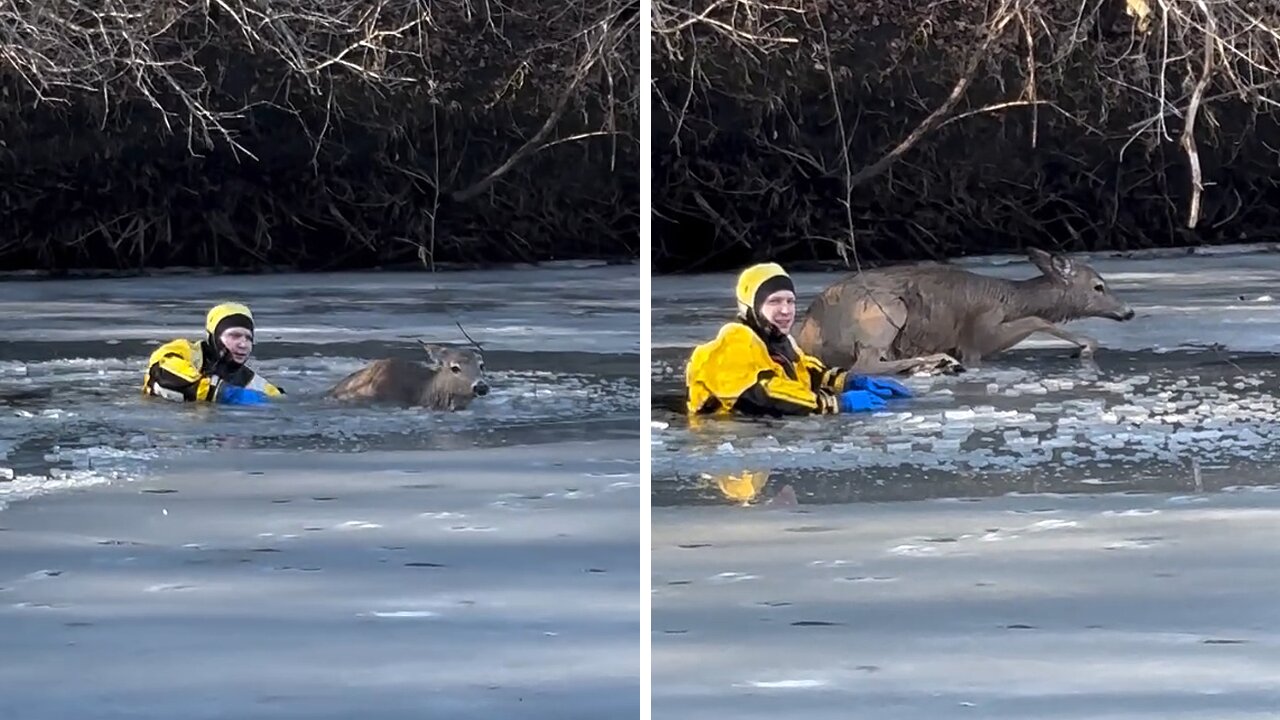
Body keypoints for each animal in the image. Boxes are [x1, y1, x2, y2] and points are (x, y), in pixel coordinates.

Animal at [793, 244, 1136, 371]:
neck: (1012, 298)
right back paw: (936, 361)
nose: (1129, 312)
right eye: (1098, 286)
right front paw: (1085, 346)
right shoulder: (979, 334)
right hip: (884, 313)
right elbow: (1039, 320)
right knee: (862, 366)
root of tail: (809, 330)